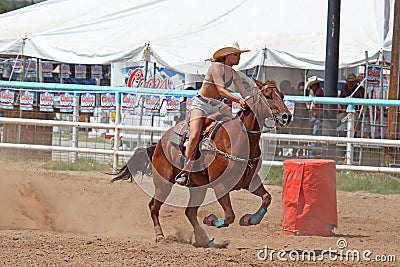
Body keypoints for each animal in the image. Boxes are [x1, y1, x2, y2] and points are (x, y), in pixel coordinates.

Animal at [112, 79, 290, 249]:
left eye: (282, 95)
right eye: (268, 96)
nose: (286, 116)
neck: (237, 140)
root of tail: (159, 143)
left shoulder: (250, 182)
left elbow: (267, 198)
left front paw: (249, 219)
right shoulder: (220, 185)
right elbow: (229, 216)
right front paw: (211, 220)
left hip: (198, 188)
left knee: (189, 213)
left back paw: (204, 239)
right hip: (164, 184)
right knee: (153, 207)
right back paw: (161, 237)